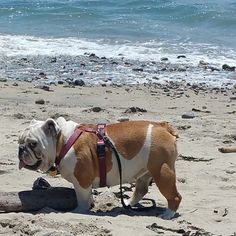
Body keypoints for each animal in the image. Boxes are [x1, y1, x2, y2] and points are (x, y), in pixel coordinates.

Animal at [17, 117, 182, 218]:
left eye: (33, 144)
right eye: (20, 141)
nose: (21, 149)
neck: (63, 140)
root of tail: (163, 126)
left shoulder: (82, 180)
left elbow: (82, 198)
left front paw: (80, 211)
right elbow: (88, 195)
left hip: (162, 172)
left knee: (175, 196)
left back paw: (167, 215)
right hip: (145, 172)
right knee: (141, 190)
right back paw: (127, 204)